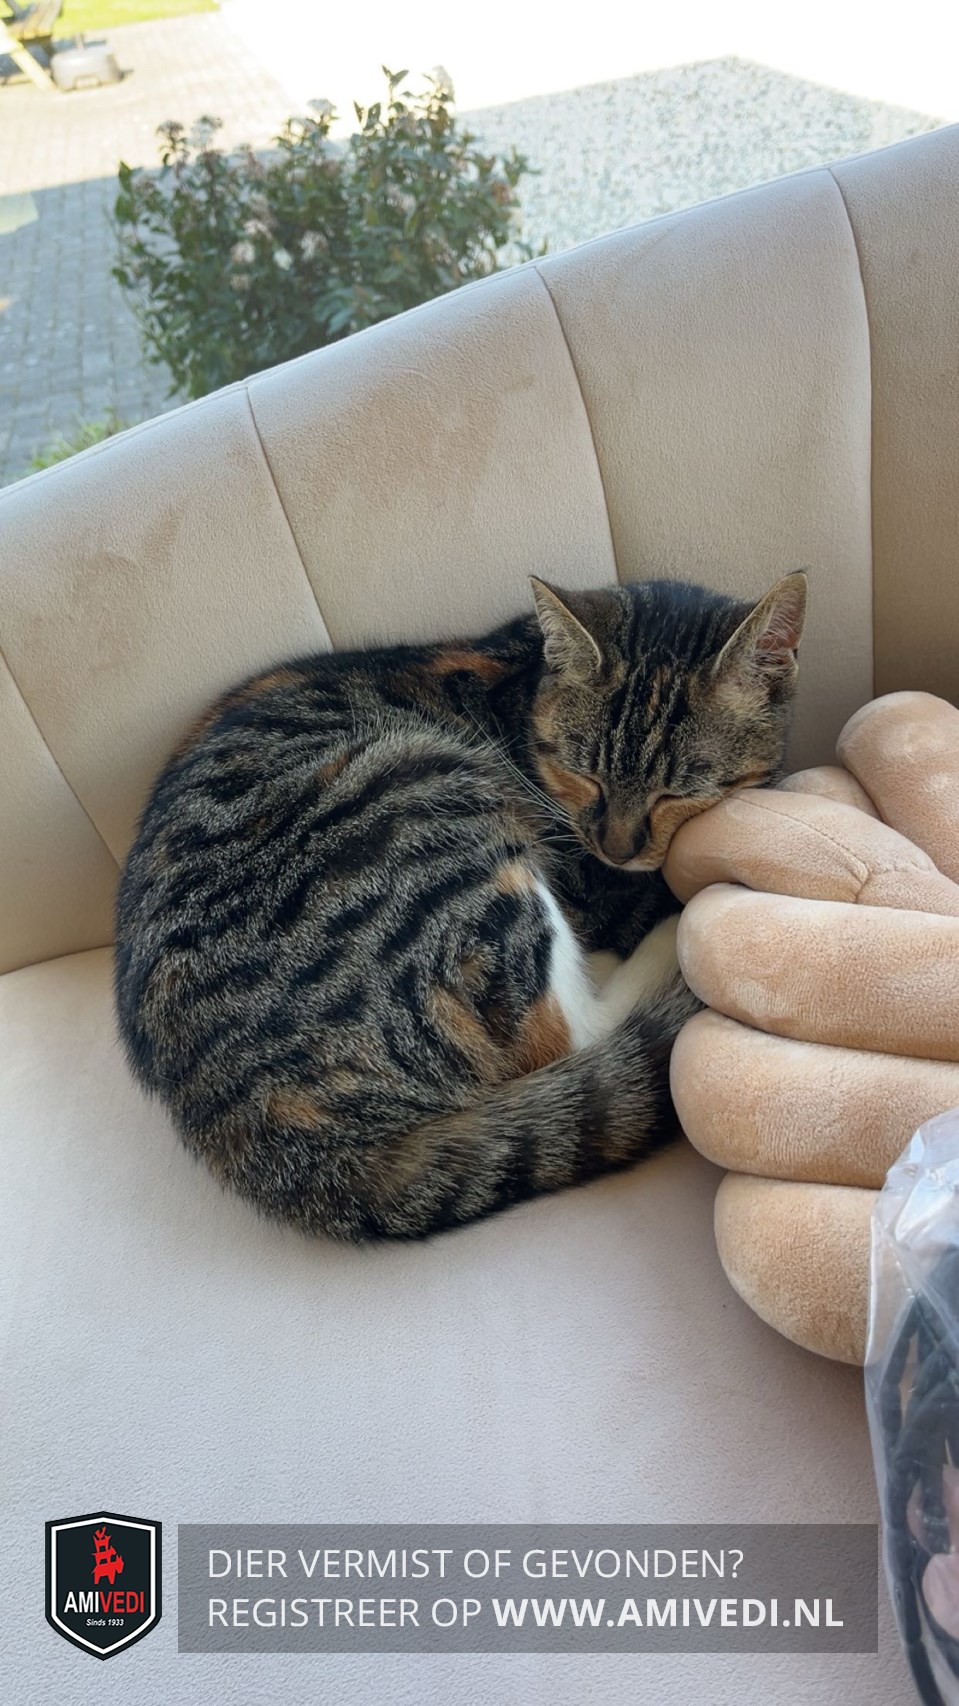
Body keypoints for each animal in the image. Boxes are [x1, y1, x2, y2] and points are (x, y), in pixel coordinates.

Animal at [114, 571, 806, 1242]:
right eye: (586, 775)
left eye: (675, 793)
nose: (616, 847)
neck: (526, 691)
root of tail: (239, 1112)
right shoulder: (592, 883)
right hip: (431, 809)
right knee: (569, 1031)